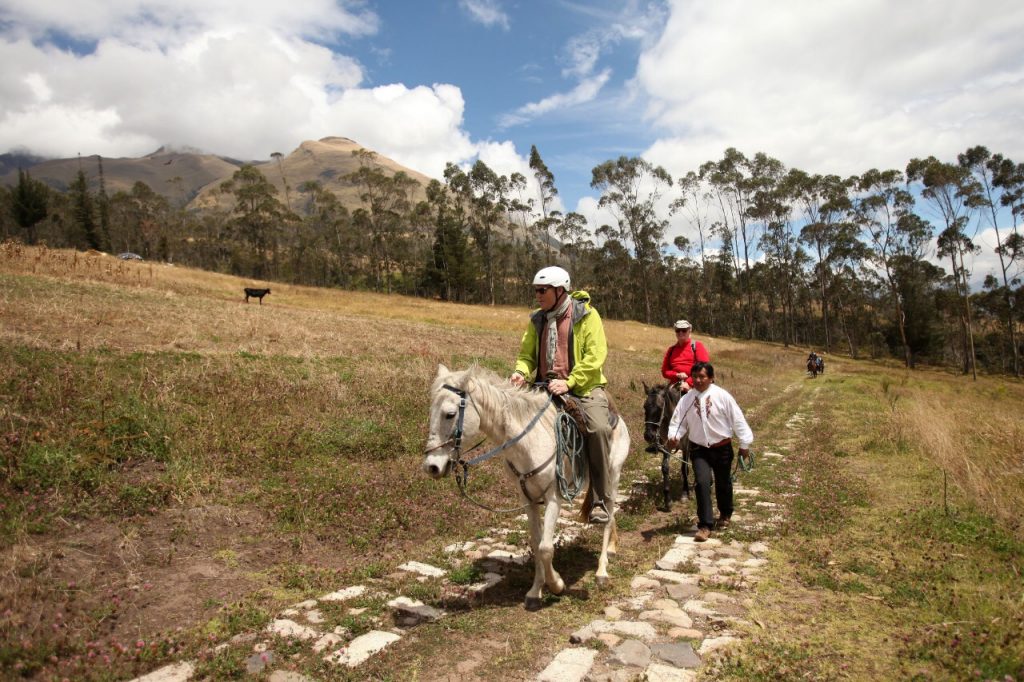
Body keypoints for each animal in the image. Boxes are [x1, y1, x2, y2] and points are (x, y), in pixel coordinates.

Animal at [417, 364, 626, 606]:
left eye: (450, 414)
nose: (432, 467)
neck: (530, 442)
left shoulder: (554, 497)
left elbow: (546, 547)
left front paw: (557, 584)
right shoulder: (528, 498)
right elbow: (536, 543)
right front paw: (536, 590)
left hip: (612, 478)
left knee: (608, 517)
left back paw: (602, 570)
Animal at [643, 378, 692, 507]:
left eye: (660, 408)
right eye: (645, 407)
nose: (649, 435)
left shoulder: (686, 446)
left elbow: (684, 468)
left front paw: (685, 493)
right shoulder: (666, 447)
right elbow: (665, 468)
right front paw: (667, 500)